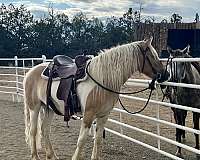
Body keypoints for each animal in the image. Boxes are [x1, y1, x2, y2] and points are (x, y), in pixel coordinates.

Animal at [23, 36, 170, 160]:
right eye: (152, 55)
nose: (166, 74)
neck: (102, 79)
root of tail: (31, 72)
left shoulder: (104, 115)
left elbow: (98, 140)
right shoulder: (88, 115)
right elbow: (81, 140)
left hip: (49, 109)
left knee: (45, 130)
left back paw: (52, 155)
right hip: (34, 108)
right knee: (33, 131)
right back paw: (35, 156)